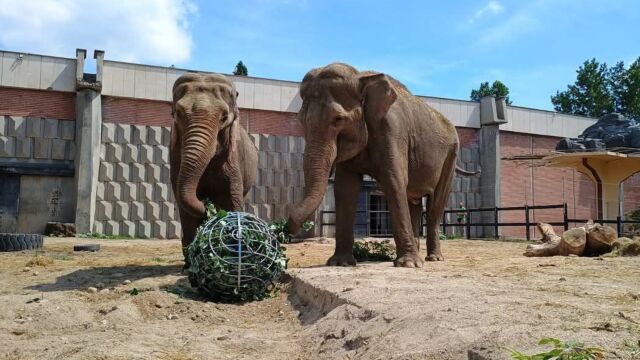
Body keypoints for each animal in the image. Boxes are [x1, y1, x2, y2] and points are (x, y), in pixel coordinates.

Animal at [172, 71, 260, 255]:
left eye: (224, 117)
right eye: (178, 113)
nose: (206, 206)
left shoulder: (233, 156)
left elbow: (231, 199)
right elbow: (184, 207)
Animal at [288, 63, 478, 268]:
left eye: (338, 119)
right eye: (300, 120)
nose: (287, 227)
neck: (360, 77)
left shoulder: (393, 130)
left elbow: (394, 180)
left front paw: (408, 265)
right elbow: (345, 188)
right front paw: (340, 263)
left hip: (451, 156)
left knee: (435, 204)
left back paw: (433, 259)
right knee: (414, 203)